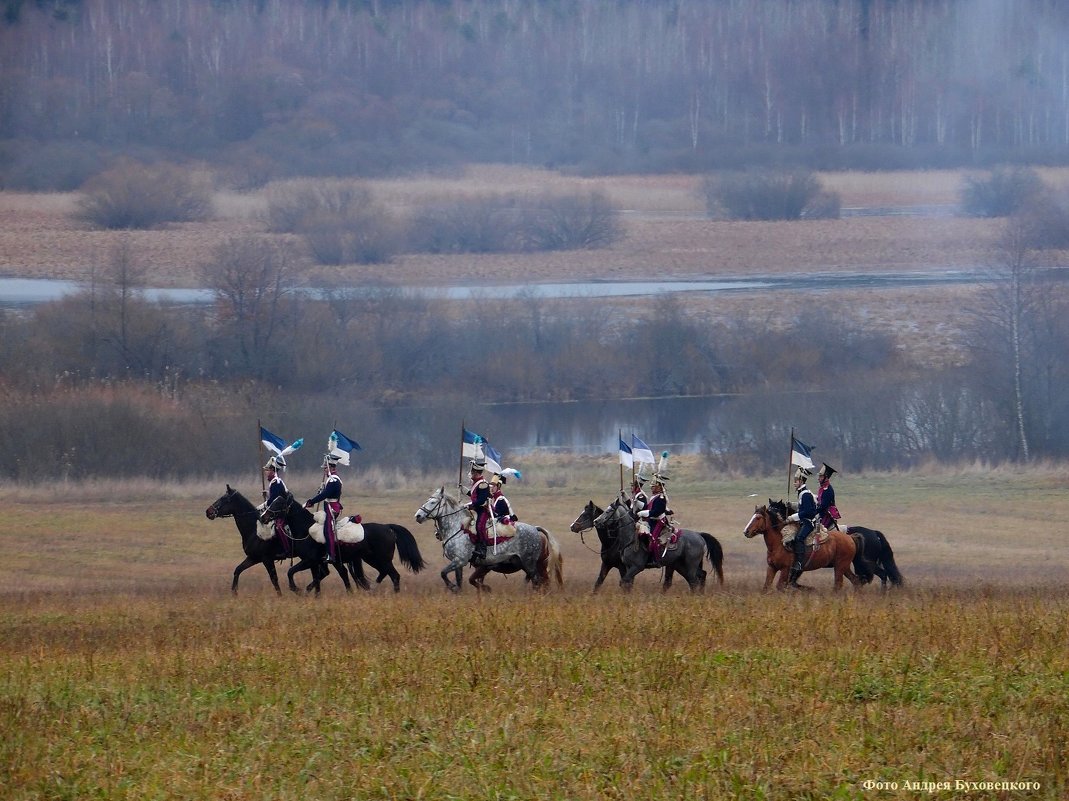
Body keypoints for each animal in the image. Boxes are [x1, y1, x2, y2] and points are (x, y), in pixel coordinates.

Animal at [202, 481, 348, 594]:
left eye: (224, 499)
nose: (208, 512)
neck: (254, 530)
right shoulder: (253, 558)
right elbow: (238, 570)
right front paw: (234, 592)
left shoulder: (267, 559)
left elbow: (274, 579)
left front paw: (281, 595)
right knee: (326, 573)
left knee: (340, 572)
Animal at [264, 489, 425, 590]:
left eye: (279, 503)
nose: (264, 516)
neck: (306, 529)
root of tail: (387, 527)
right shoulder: (322, 562)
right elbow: (332, 576)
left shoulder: (310, 560)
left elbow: (291, 571)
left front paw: (295, 588)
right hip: (371, 559)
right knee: (385, 573)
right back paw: (373, 587)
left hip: (382, 559)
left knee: (394, 576)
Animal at [410, 483, 564, 590]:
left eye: (432, 502)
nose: (418, 516)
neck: (458, 528)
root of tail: (535, 529)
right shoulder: (458, 563)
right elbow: (459, 581)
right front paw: (457, 590)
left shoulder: (460, 560)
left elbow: (443, 573)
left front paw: (452, 587)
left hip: (530, 563)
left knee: (537, 581)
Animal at [568, 496, 726, 590]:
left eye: (585, 514)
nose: (572, 526)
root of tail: (699, 536)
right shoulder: (613, 565)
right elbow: (602, 582)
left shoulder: (634, 567)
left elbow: (624, 582)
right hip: (680, 565)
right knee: (697, 577)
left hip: (690, 565)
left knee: (693, 581)